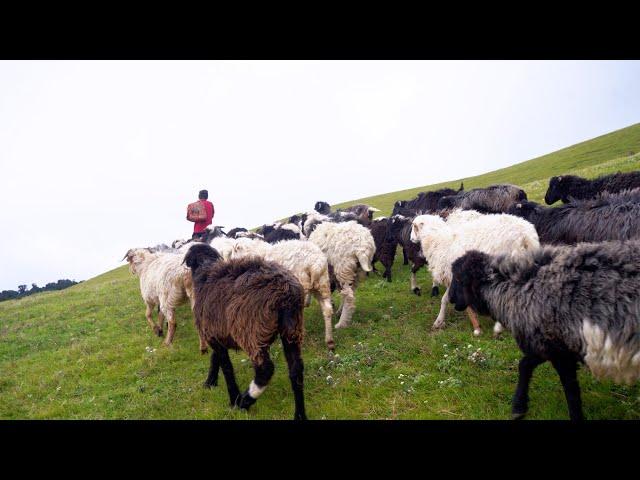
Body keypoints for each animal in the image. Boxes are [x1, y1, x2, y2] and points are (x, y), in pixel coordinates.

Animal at [410, 208, 540, 336]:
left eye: (414, 226)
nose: (411, 239)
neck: (437, 240)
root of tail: (525, 237)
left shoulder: (454, 277)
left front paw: (475, 326)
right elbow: (445, 299)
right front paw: (440, 321)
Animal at [448, 240, 640, 420]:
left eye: (457, 279)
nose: (450, 298)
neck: (516, 288)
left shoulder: (557, 348)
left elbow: (570, 390)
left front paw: (520, 407)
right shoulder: (547, 344)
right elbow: (525, 364)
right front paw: (519, 407)